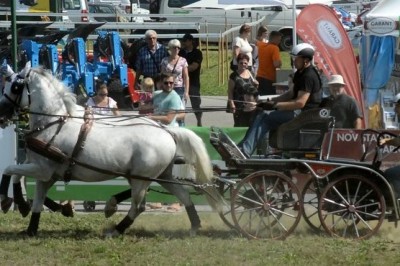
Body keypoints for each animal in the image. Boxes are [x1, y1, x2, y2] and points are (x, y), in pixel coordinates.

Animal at [0, 65, 223, 237]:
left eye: (15, 86)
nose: (1, 113)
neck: (54, 122)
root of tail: (166, 130)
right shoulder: (45, 173)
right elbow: (33, 195)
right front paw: (30, 224)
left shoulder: (42, 169)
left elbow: (10, 170)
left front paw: (10, 201)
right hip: (161, 175)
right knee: (184, 195)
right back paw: (194, 226)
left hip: (141, 178)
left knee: (138, 206)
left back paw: (116, 229)